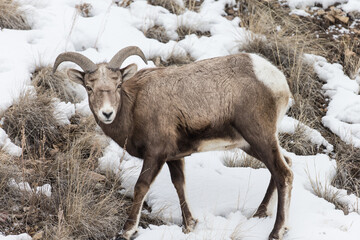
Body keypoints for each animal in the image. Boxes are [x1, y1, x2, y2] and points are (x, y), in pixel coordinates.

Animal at [54, 46, 294, 240]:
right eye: (89, 87)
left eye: (118, 85)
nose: (107, 113)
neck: (133, 109)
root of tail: (277, 81)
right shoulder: (173, 158)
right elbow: (179, 184)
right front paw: (189, 225)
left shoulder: (155, 154)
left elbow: (141, 187)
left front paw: (127, 230)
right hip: (251, 144)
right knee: (283, 165)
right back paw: (260, 213)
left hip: (259, 137)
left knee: (284, 173)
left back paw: (276, 232)